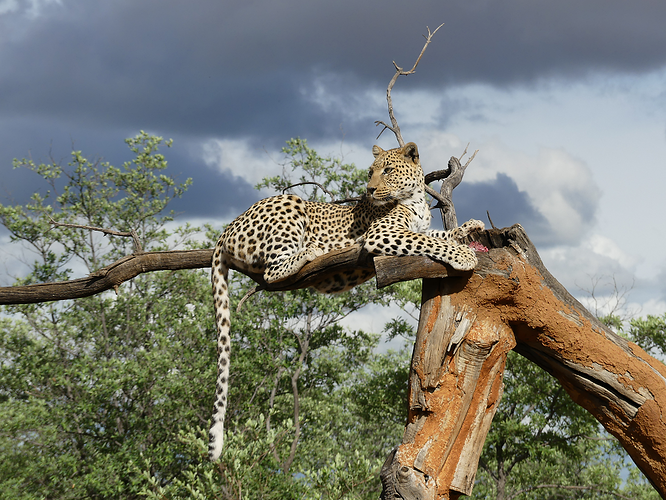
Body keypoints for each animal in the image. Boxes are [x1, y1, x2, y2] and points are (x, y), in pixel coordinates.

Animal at [208, 142, 482, 460]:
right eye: (370, 172)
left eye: (387, 170)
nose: (370, 189)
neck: (415, 199)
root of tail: (228, 226)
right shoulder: (382, 233)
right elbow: (431, 242)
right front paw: (463, 255)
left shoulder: (419, 228)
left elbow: (440, 234)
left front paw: (469, 227)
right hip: (290, 204)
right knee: (271, 271)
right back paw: (310, 251)